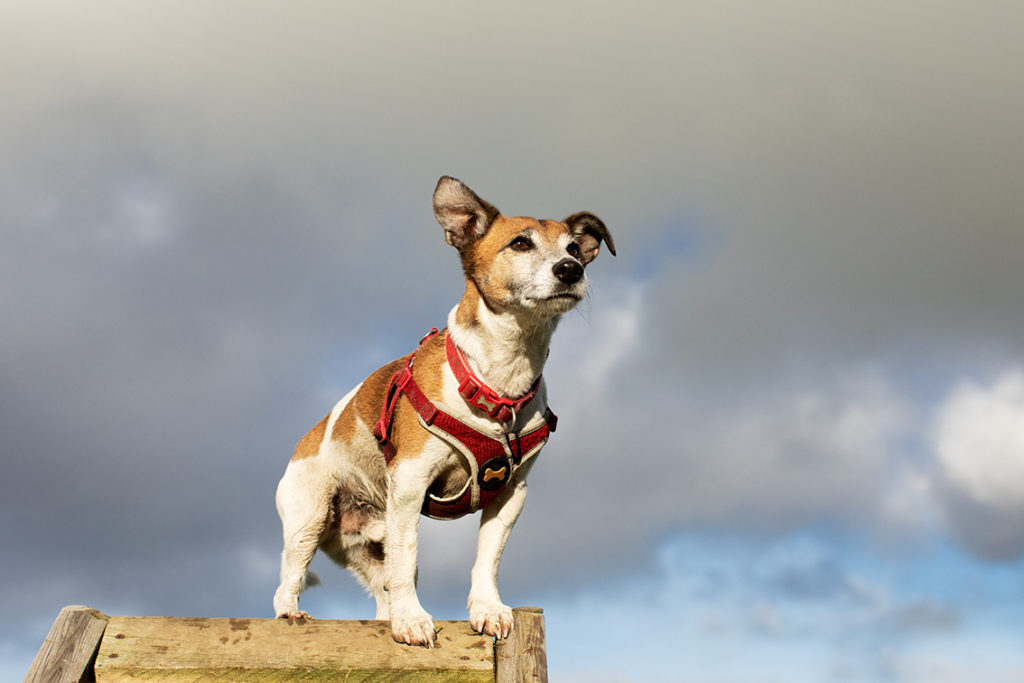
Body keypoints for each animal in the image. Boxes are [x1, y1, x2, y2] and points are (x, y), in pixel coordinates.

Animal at [272, 175, 614, 647]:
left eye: (575, 248)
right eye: (521, 243)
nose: (570, 270)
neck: (498, 380)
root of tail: (307, 439)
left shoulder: (511, 493)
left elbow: (487, 558)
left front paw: (487, 608)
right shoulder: (411, 483)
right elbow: (409, 561)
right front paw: (412, 620)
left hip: (369, 539)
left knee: (382, 583)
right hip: (311, 517)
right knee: (293, 575)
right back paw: (291, 613)